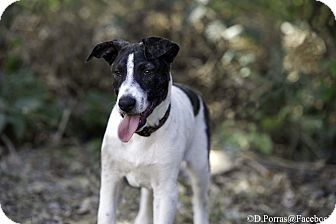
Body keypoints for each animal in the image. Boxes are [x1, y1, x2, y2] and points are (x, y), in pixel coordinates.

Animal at [88, 37, 211, 224]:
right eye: (117, 72)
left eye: (147, 72)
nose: (125, 103)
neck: (141, 136)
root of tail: (194, 93)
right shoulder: (111, 179)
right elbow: (107, 215)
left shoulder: (166, 191)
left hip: (200, 167)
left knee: (200, 201)